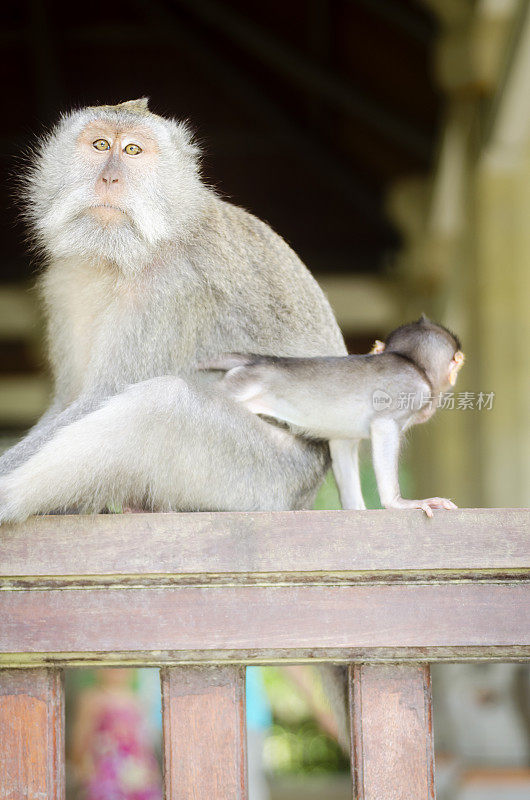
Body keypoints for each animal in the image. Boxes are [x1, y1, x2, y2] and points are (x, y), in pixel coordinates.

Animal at [0, 97, 346, 520]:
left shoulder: (171, 286)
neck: (123, 256)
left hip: (265, 479)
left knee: (162, 403)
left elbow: (99, 398)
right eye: (100, 144)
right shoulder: (66, 282)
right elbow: (68, 400)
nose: (110, 179)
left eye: (133, 150)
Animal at [202, 316, 462, 516]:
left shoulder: (344, 438)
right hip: (240, 386)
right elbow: (384, 426)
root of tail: (260, 360)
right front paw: (399, 503)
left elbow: (341, 446)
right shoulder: (413, 391)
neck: (409, 360)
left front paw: (356, 508)